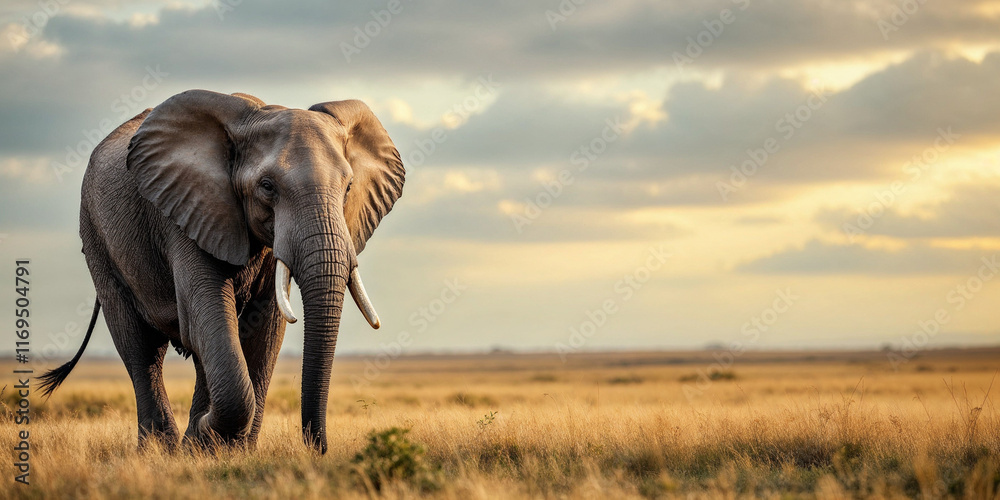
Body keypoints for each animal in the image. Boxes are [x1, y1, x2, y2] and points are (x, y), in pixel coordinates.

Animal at [38, 89, 405, 453]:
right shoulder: (185, 211)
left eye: (349, 187)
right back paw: (162, 448)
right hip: (95, 234)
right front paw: (204, 437)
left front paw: (229, 449)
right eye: (267, 186)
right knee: (141, 347)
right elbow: (206, 315)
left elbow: (262, 330)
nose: (317, 447)